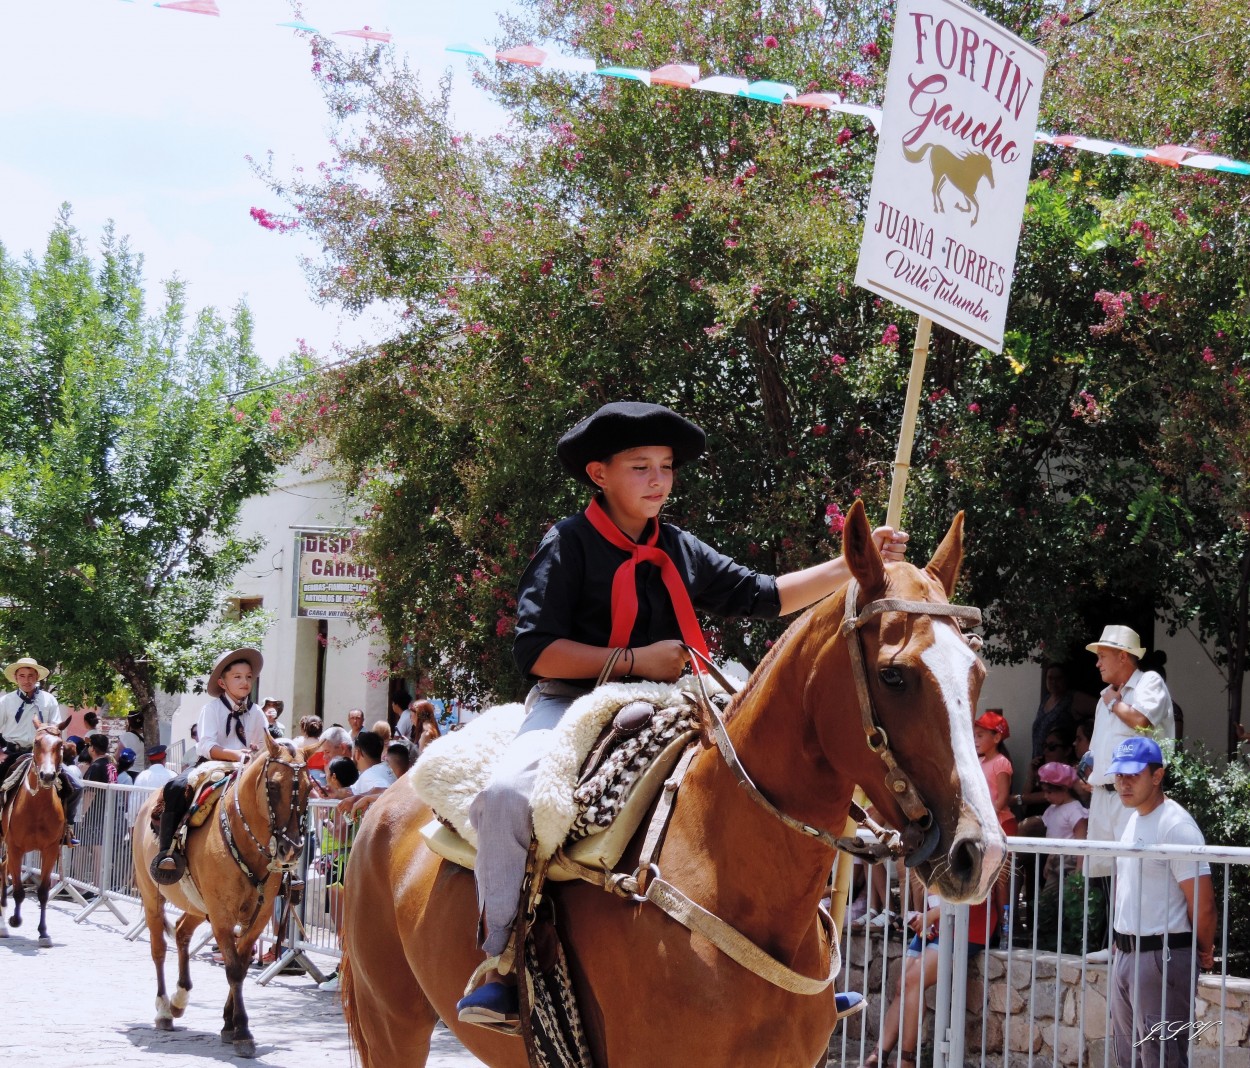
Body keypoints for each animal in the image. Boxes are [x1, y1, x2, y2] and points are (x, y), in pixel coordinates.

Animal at [0, 720, 70, 945]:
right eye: (37, 742)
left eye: (59, 744)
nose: (47, 776)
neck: (37, 808)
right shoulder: (15, 849)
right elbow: (19, 891)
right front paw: (15, 920)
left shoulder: (50, 851)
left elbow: (43, 892)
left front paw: (44, 933)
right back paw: (4, 924)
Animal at [131, 735, 310, 1060]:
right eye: (273, 785)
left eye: (308, 787)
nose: (290, 848)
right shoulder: (223, 915)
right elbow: (234, 968)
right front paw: (241, 1031)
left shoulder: (257, 916)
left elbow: (241, 961)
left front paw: (229, 1023)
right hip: (153, 898)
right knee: (159, 949)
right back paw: (164, 1008)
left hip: (198, 907)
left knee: (181, 932)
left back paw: (179, 998)